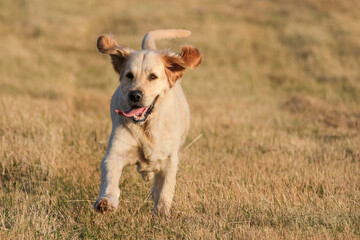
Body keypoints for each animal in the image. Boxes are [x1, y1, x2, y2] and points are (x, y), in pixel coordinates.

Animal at [93, 29, 201, 215]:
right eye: (129, 75)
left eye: (153, 76)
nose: (135, 95)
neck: (146, 126)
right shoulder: (116, 152)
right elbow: (110, 178)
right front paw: (106, 202)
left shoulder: (170, 159)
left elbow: (164, 189)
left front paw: (161, 213)